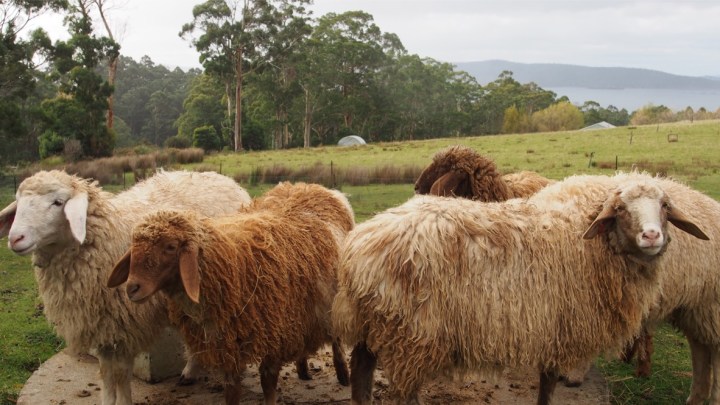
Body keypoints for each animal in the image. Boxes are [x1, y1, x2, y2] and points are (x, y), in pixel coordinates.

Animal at [0, 170, 251, 405]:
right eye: (18, 201)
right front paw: (108, 400)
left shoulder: (125, 325)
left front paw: (123, 400)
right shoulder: (102, 325)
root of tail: (224, 179)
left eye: (58, 202)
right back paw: (191, 371)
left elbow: (120, 373)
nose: (15, 238)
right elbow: (106, 373)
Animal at [107, 182, 354, 405]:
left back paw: (343, 373)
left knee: (335, 338)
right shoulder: (227, 343)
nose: (132, 288)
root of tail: (309, 187)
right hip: (302, 310)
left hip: (327, 302)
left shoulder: (273, 333)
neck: (231, 262)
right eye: (134, 247)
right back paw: (302, 369)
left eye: (170, 246)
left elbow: (267, 382)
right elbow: (232, 390)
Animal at [332, 172, 709, 405]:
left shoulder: (550, 329)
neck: (590, 243)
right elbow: (549, 384)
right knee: (400, 392)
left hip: (372, 325)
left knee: (361, 375)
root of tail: (359, 246)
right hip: (412, 337)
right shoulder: (560, 327)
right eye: (619, 209)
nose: (651, 236)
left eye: (665, 206)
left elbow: (546, 383)